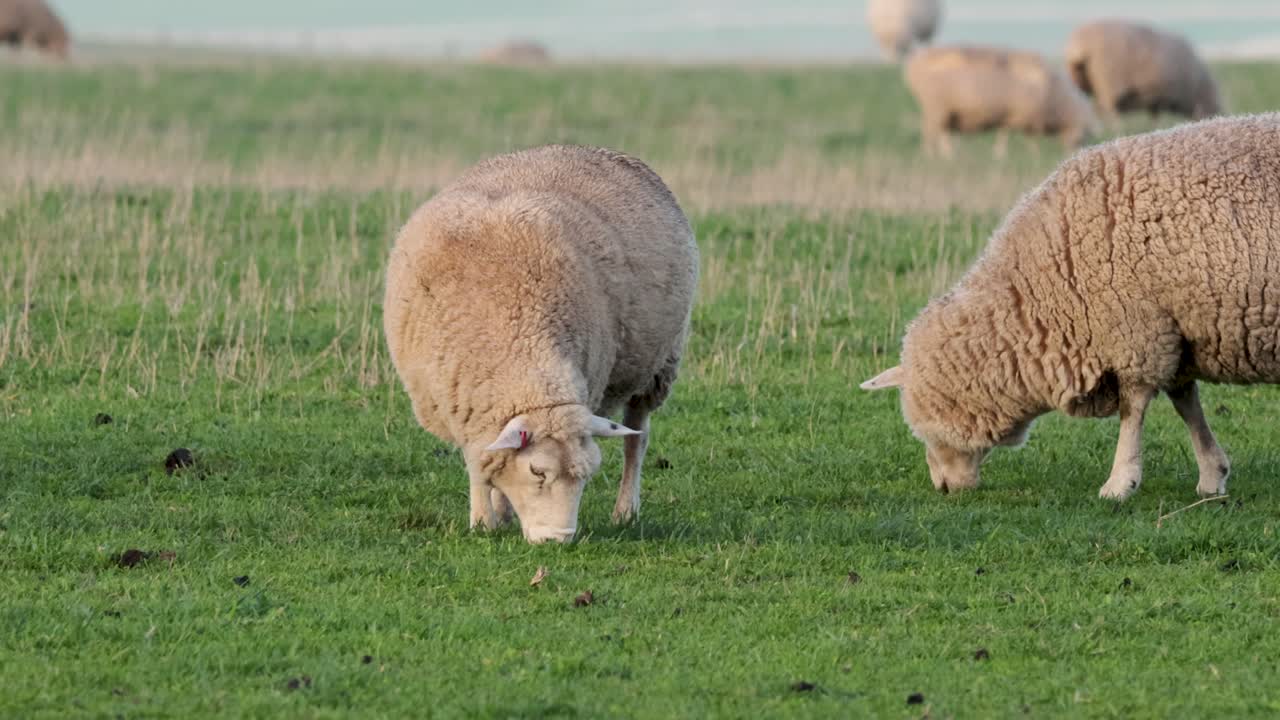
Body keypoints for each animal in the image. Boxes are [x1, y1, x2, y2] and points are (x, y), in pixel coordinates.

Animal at [383, 145, 698, 543]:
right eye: (537, 472)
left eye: (587, 474)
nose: (558, 539)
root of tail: (603, 151)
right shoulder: (464, 404)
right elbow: (480, 463)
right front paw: (487, 519)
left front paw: (489, 517)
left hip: (657, 365)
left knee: (636, 441)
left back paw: (626, 511)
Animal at [861, 113, 1280, 501]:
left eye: (924, 430)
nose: (943, 487)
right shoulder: (1172, 328)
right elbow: (1186, 403)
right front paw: (1212, 474)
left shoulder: (1136, 331)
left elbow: (1133, 408)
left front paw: (1120, 482)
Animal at [905, 45, 1099, 157]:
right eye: (1084, 135)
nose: (1073, 152)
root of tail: (914, 63)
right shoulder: (1023, 115)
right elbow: (1024, 137)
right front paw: (1030, 153)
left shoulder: (1012, 115)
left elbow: (1004, 133)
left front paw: (1001, 153)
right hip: (935, 108)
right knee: (931, 132)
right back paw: (935, 155)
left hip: (943, 111)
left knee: (941, 133)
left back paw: (947, 153)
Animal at [1065, 20, 1222, 122]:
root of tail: (1079, 45)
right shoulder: (1162, 93)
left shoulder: (1155, 96)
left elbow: (1154, 115)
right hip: (1108, 80)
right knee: (1109, 109)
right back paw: (1117, 127)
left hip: (1081, 78)